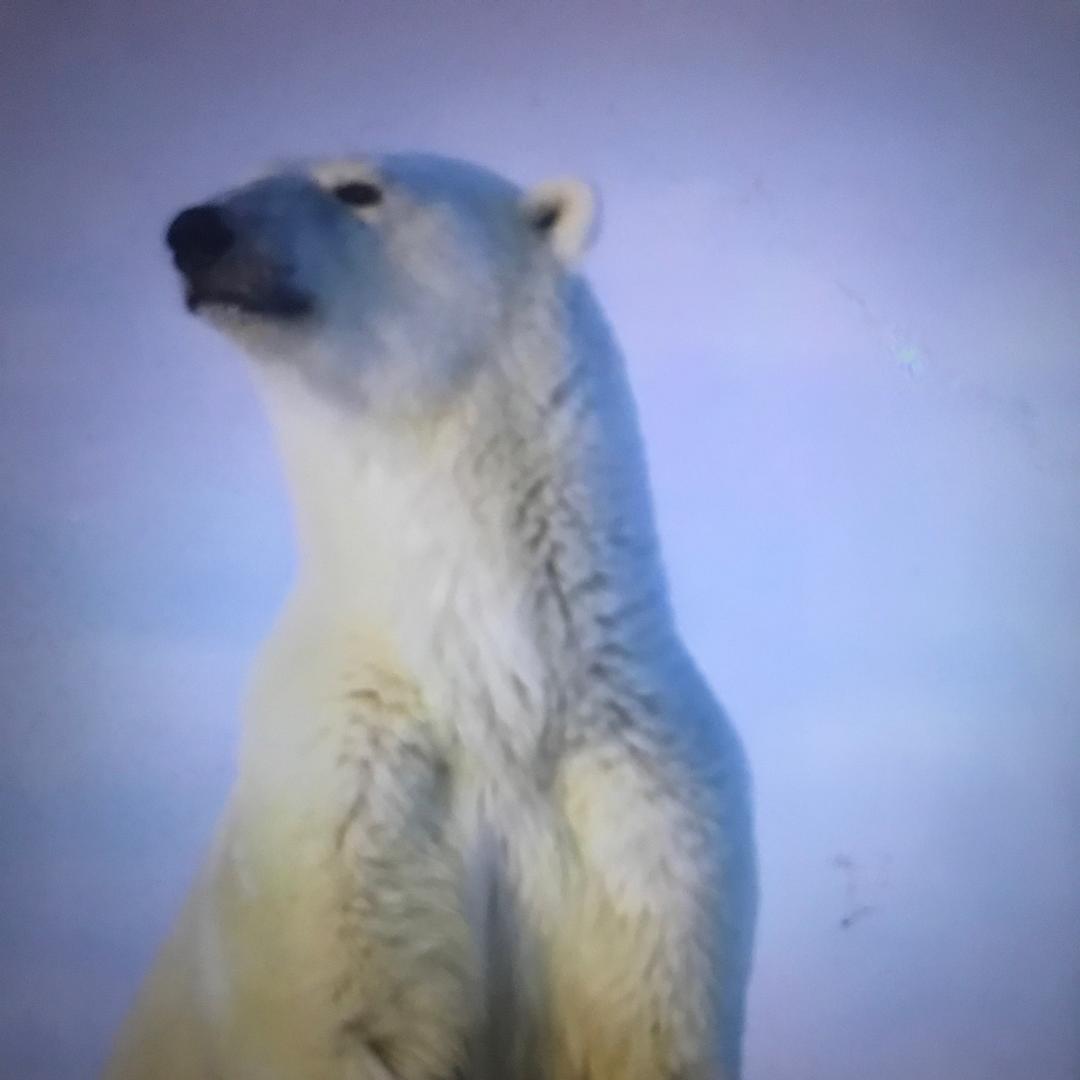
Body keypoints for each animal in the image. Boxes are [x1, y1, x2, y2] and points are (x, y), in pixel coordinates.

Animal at [105, 153, 757, 1080]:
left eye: (358, 189)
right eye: (252, 174)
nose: (196, 230)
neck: (491, 695)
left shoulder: (648, 818)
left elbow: (643, 1021)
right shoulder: (342, 813)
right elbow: (350, 1007)